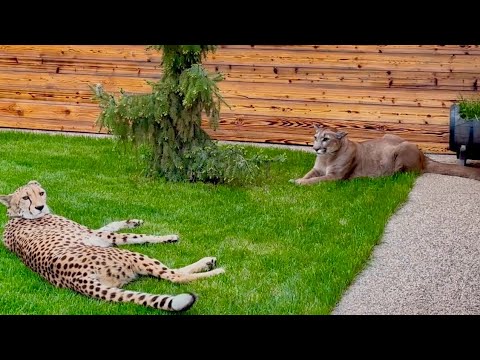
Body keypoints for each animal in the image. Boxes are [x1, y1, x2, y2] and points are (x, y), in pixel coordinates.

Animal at [0, 180, 225, 312]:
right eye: (26, 197)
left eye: (41, 193)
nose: (40, 207)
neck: (16, 215)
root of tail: (76, 280)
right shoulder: (97, 235)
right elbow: (135, 236)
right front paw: (167, 236)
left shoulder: (97, 232)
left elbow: (114, 224)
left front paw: (134, 221)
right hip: (129, 254)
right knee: (175, 276)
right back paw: (213, 267)